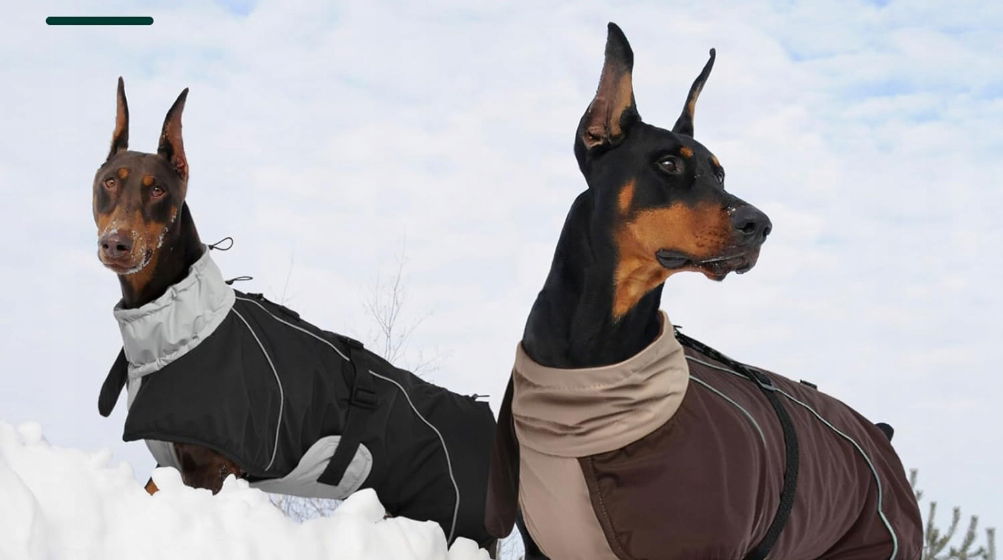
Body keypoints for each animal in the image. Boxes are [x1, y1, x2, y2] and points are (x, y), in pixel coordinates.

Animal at [485, 23, 923, 560]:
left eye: (720, 173)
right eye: (670, 164)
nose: (760, 225)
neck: (590, 365)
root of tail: (879, 435)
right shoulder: (545, 545)